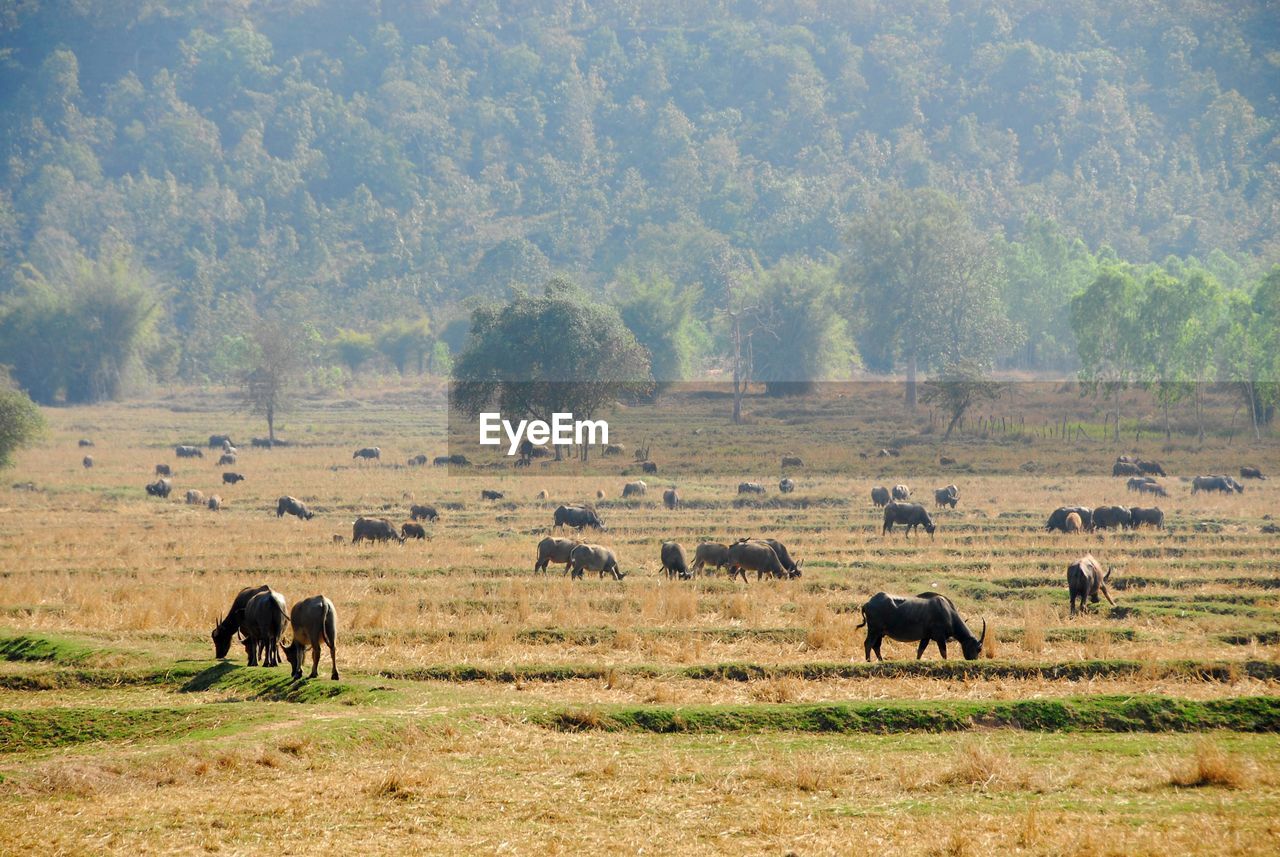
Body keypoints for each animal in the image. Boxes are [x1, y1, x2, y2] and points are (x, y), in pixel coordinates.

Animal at [860, 593, 988, 670]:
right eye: (979, 648)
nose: (974, 662)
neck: (948, 612)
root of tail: (867, 604)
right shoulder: (940, 638)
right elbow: (943, 653)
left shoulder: (926, 637)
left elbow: (920, 651)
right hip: (874, 631)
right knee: (868, 644)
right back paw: (868, 661)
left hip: (879, 633)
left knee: (876, 646)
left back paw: (881, 661)